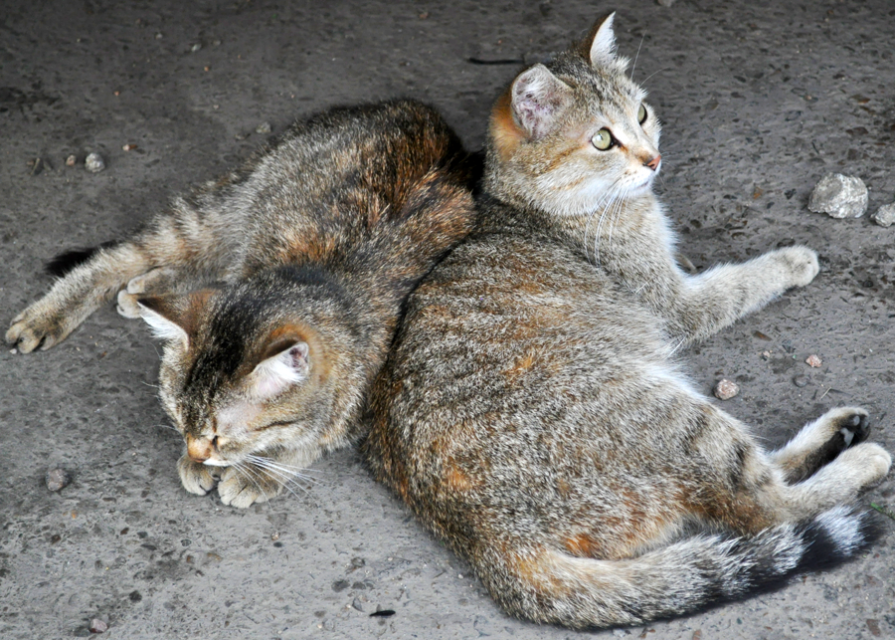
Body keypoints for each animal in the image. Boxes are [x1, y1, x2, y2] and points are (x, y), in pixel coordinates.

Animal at [7, 100, 476, 508]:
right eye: (178, 418)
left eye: (219, 435)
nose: (197, 453)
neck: (325, 280)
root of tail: (421, 112)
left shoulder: (370, 400)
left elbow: (310, 441)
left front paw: (259, 470)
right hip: (218, 209)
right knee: (119, 258)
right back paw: (52, 313)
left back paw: (146, 288)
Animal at [362, 16, 888, 632]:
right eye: (602, 140)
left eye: (640, 114)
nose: (653, 159)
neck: (533, 207)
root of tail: (487, 538)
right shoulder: (675, 302)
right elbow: (738, 282)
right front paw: (791, 260)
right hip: (676, 416)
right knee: (764, 507)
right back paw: (858, 459)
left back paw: (840, 431)